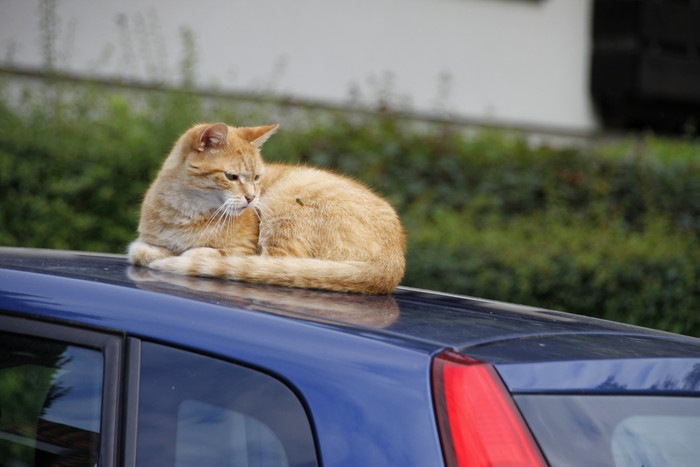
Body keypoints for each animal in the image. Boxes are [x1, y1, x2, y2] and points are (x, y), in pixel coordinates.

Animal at [129, 122, 408, 294]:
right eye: (231, 177)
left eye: (256, 177)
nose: (252, 198)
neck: (185, 212)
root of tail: (393, 261)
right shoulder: (145, 240)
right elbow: (140, 250)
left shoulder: (243, 248)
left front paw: (184, 254)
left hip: (283, 203)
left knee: (275, 265)